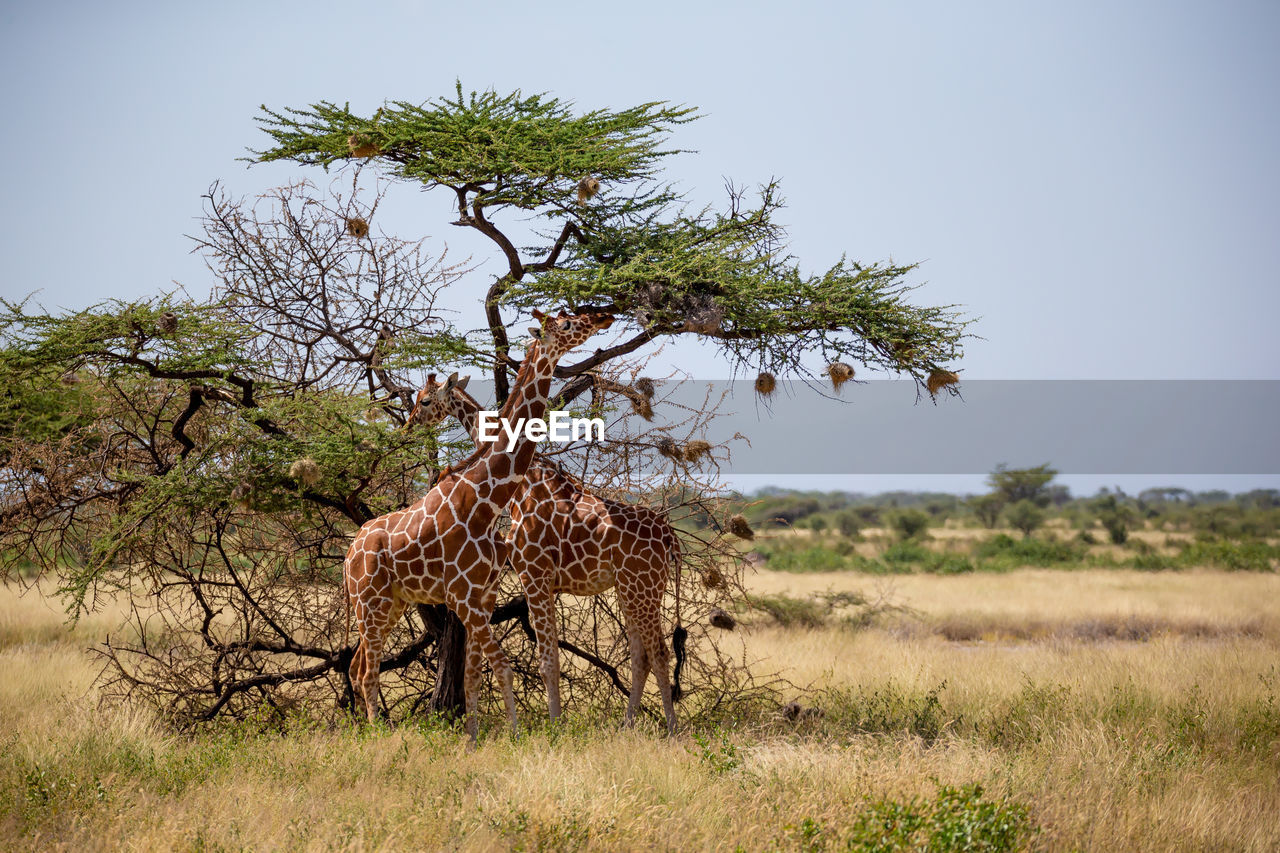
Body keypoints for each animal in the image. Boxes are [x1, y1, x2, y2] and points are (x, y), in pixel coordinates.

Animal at [345, 306, 614, 737]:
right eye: (567, 323)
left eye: (424, 400)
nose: (604, 317)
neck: (485, 502)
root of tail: (349, 550)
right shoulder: (466, 596)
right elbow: (497, 668)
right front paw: (508, 735)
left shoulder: (483, 596)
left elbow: (480, 673)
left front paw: (483, 736)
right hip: (372, 603)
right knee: (366, 670)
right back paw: (375, 734)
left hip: (388, 606)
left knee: (359, 668)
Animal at [412, 371, 691, 732]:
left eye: (425, 400)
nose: (412, 422)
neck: (521, 486)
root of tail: (669, 535)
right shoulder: (542, 581)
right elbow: (553, 657)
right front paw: (557, 724)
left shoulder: (534, 576)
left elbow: (548, 660)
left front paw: (556, 727)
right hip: (631, 590)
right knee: (640, 656)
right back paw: (627, 726)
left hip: (642, 587)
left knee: (659, 652)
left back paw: (672, 729)